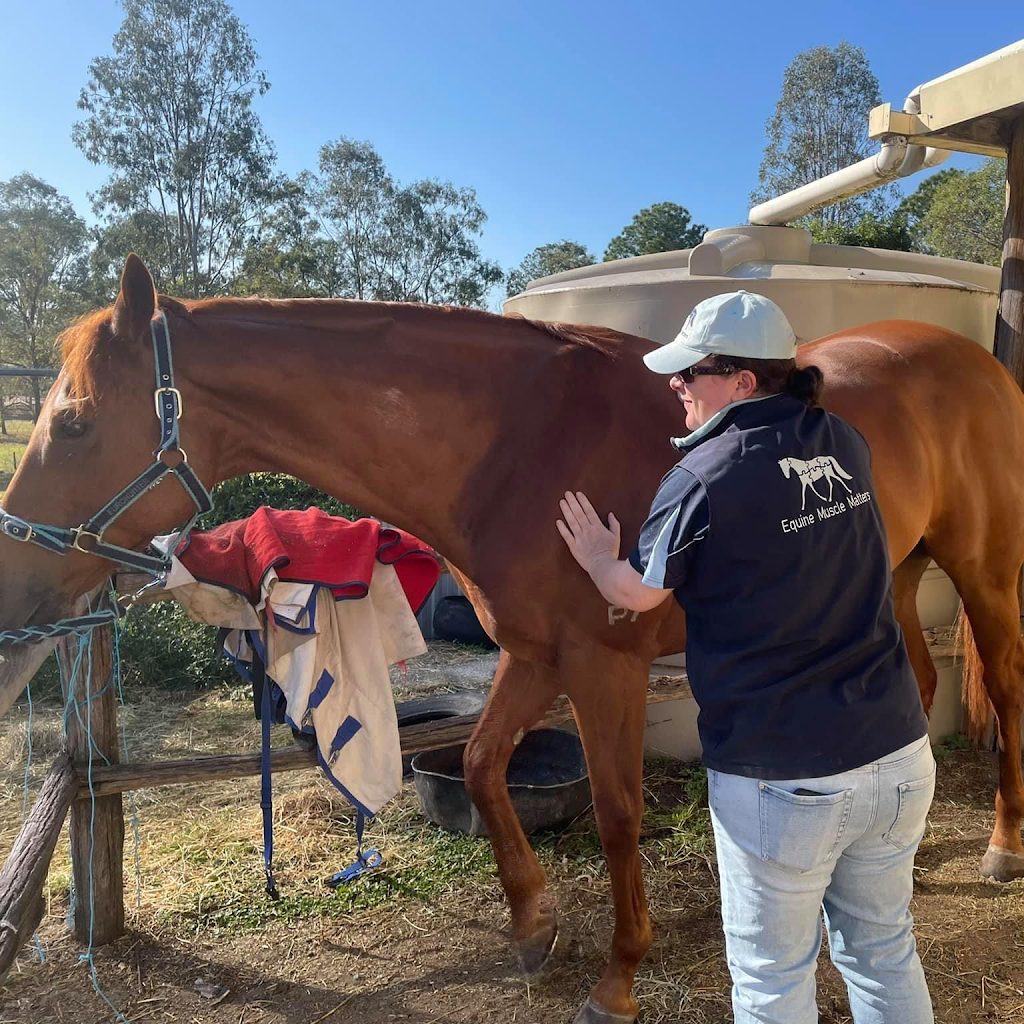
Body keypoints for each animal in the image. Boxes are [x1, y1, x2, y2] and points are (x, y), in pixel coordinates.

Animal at [6, 249, 1024, 1024]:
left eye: (78, 422)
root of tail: (976, 362)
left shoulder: (604, 665)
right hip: (896, 574)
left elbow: (618, 813)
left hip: (983, 572)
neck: (520, 444)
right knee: (914, 692)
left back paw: (1001, 848)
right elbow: (486, 765)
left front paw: (618, 975)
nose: (15, 590)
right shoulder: (537, 658)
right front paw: (534, 925)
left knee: (1004, 694)